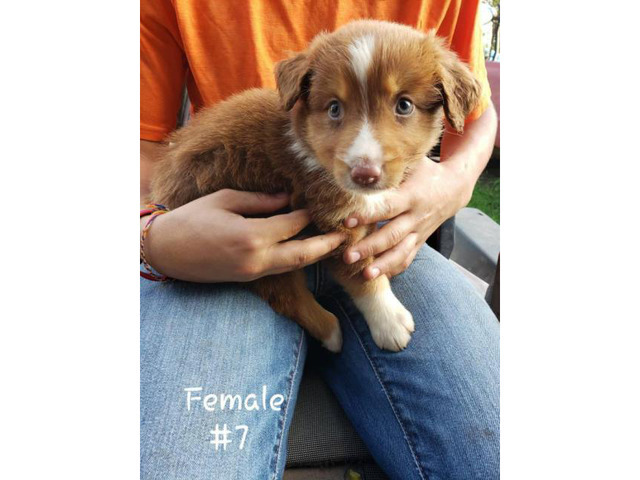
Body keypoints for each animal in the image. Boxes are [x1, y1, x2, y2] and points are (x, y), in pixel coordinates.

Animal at [151, 19, 480, 352]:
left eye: (404, 105)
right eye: (334, 108)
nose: (364, 175)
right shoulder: (333, 222)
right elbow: (361, 271)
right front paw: (390, 321)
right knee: (283, 292)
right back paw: (331, 332)